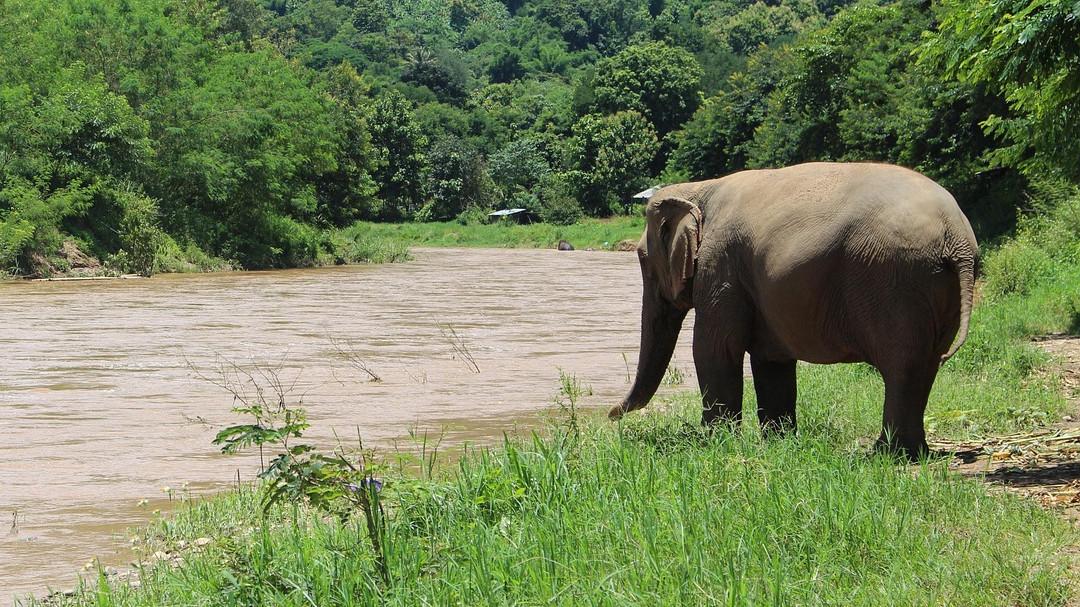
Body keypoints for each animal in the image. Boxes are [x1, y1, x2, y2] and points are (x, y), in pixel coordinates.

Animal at [608, 162, 978, 458]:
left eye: (642, 259)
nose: (610, 415)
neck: (699, 188)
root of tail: (956, 234)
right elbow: (771, 360)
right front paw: (779, 441)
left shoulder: (720, 267)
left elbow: (714, 349)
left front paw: (714, 441)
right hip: (934, 287)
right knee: (925, 367)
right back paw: (913, 452)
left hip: (896, 281)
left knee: (903, 366)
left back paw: (887, 454)